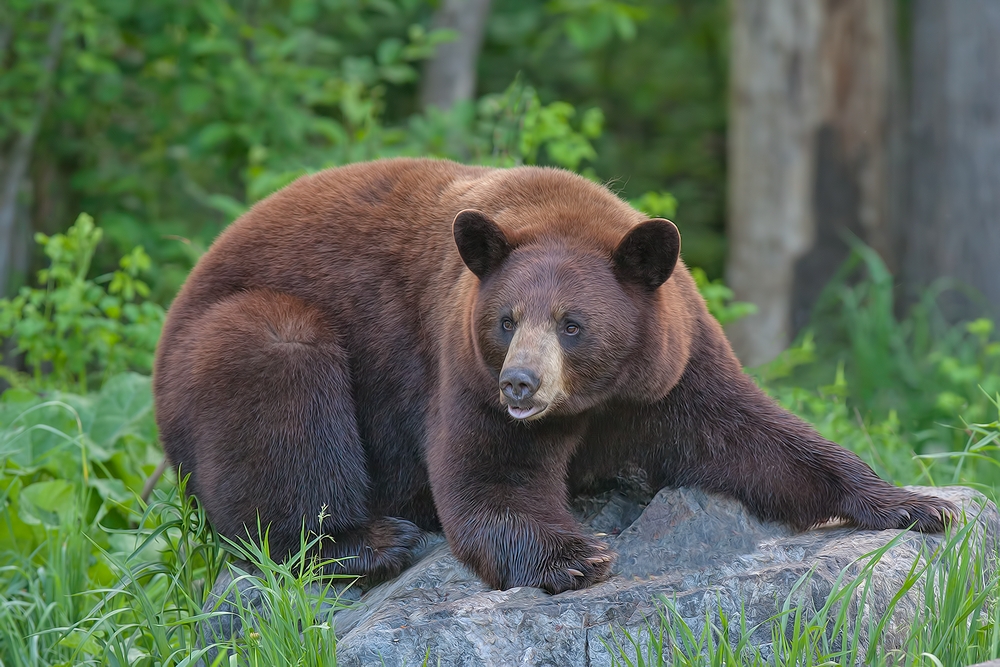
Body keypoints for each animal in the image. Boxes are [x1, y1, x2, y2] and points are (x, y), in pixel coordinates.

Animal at [152, 157, 956, 596]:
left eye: (573, 323)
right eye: (508, 319)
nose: (521, 385)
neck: (597, 399)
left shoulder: (675, 362)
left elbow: (756, 437)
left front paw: (915, 503)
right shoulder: (459, 365)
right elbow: (489, 476)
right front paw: (577, 555)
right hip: (238, 334)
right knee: (280, 381)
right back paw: (368, 539)